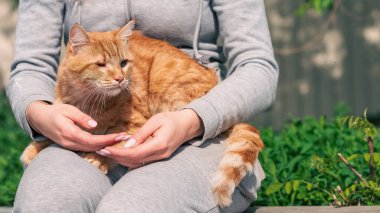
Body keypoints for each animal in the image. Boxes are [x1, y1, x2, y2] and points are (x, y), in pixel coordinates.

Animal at [20, 20, 264, 206]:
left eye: (123, 62)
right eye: (101, 64)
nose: (120, 78)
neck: (88, 100)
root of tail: (215, 84)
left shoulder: (136, 125)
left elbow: (115, 144)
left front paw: (98, 157)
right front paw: (34, 148)